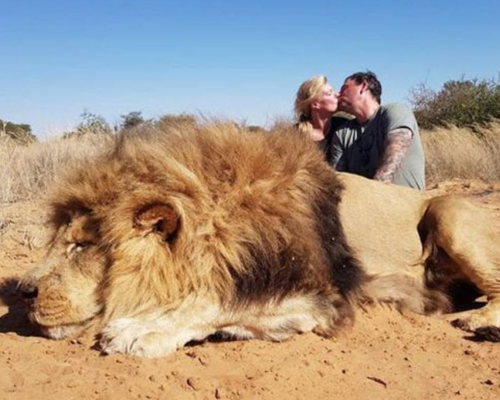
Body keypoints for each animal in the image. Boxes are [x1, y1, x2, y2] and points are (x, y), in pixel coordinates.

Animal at [17, 123, 498, 358]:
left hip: (448, 210)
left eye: (81, 246)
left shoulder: (327, 296)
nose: (23, 291)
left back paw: (481, 323)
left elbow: (221, 301)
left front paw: (141, 330)